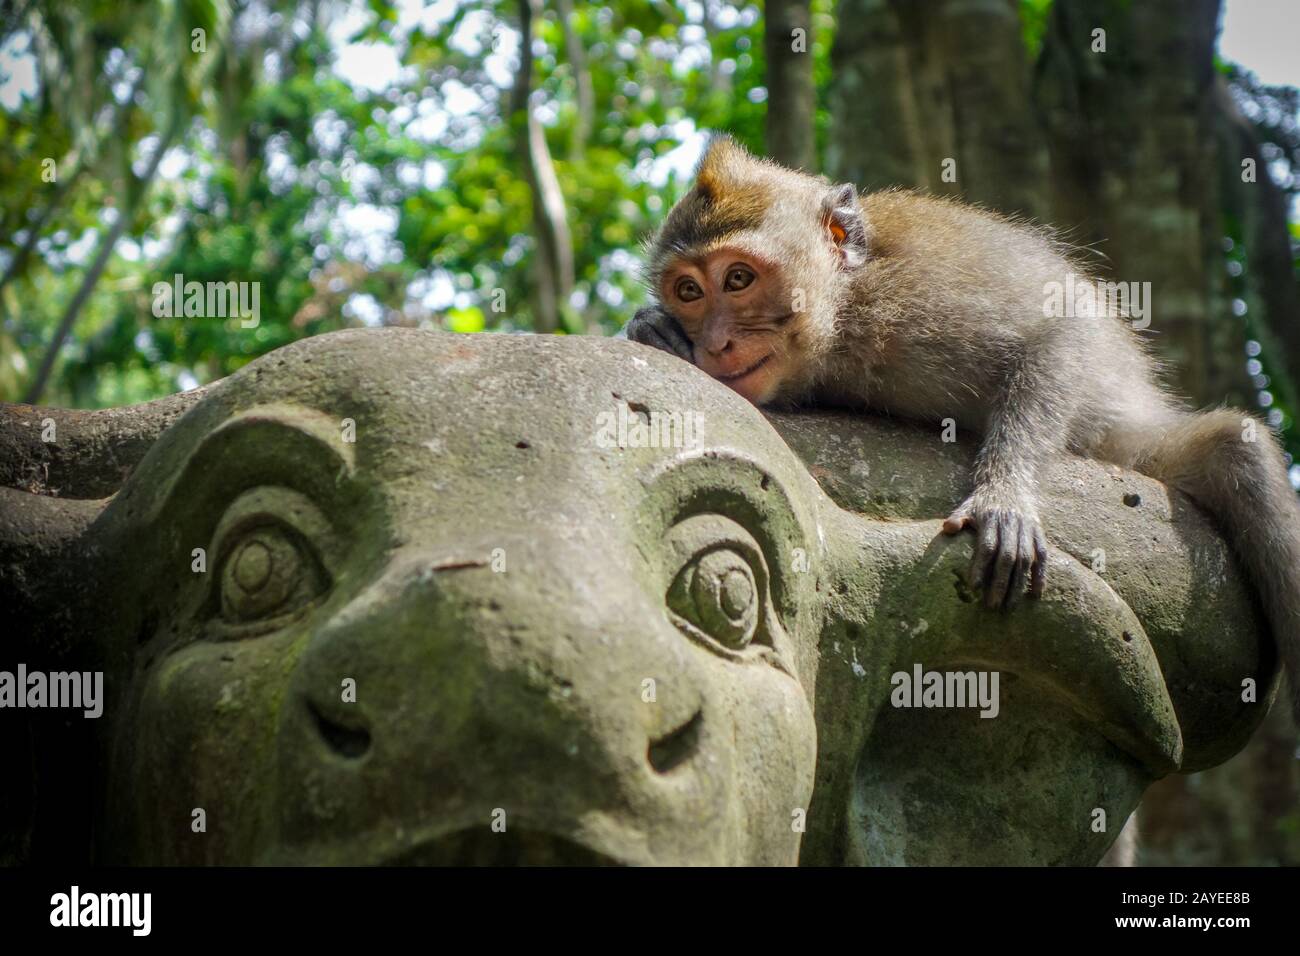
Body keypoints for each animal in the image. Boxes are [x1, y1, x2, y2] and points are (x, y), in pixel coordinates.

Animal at [622, 135, 1300, 718]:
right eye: (688, 291)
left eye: (737, 278)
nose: (714, 342)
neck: (844, 313)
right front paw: (654, 333)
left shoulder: (920, 298)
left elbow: (1059, 331)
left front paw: (1005, 497)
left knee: (1236, 452)